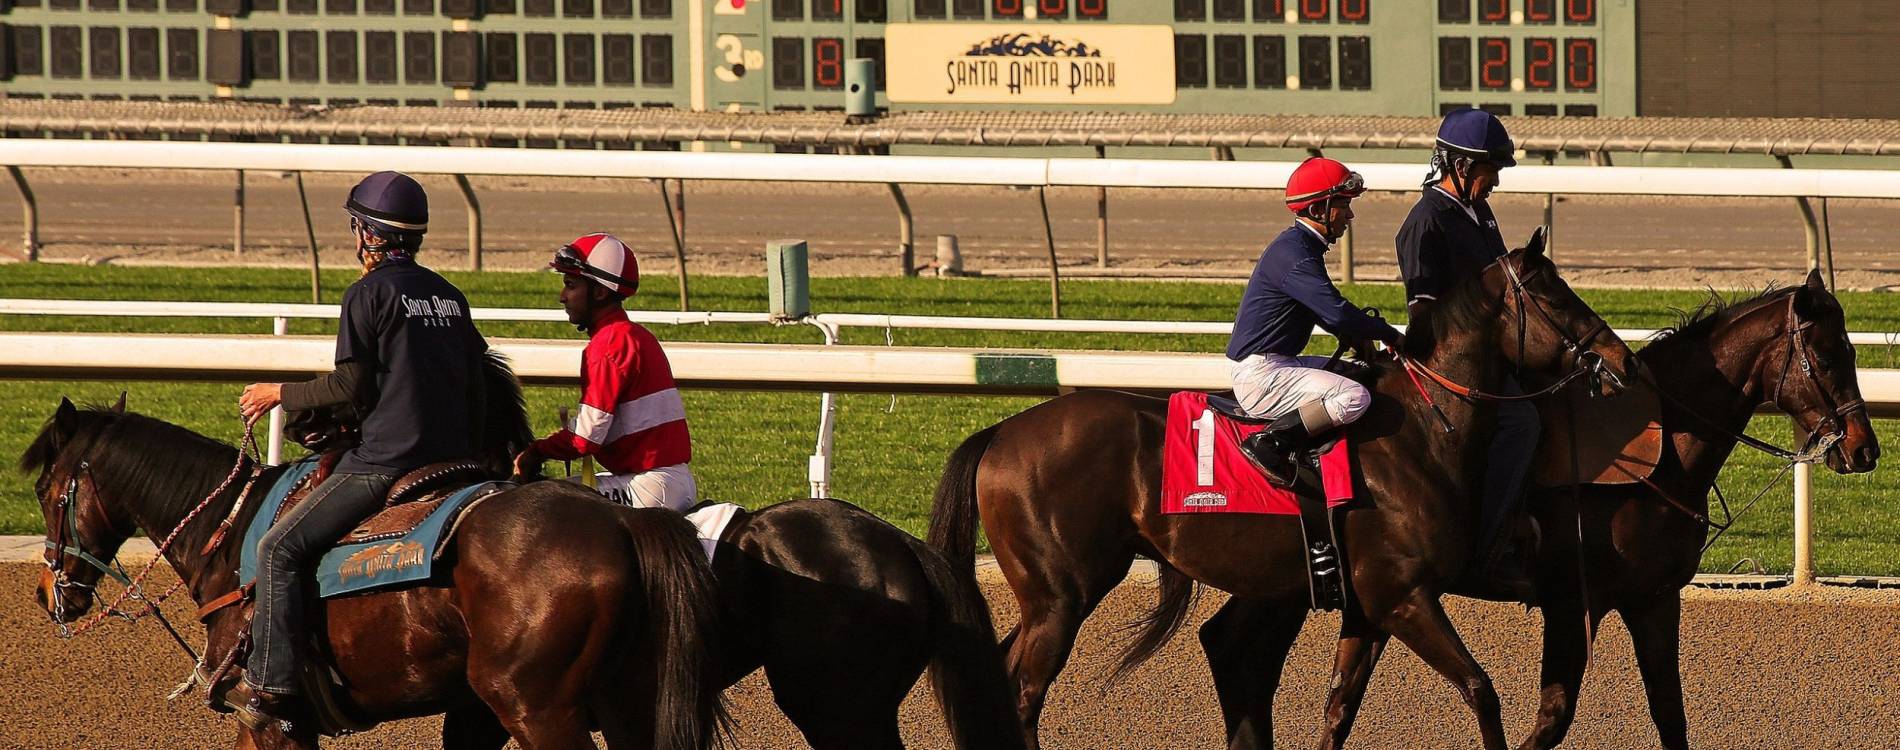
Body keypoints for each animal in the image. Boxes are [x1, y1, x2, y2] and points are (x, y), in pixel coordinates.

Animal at [23, 397, 725, 750]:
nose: (44, 591)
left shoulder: (270, 721)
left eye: (43, 490)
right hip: (621, 704)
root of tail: (626, 524)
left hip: (538, 710)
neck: (229, 531)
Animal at [928, 236, 1639, 750]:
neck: (1421, 429)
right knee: (1022, 693)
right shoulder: (1405, 596)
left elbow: (1340, 706)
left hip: (1051, 598)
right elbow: (1479, 690)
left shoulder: (1369, 606)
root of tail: (999, 433)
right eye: (1555, 297)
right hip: (1061, 596)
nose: (1622, 360)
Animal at [1197, 269, 1881, 750]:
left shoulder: (1654, 599)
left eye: (1853, 352)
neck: (1655, 453)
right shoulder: (1573, 600)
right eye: (1828, 356)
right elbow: (1553, 717)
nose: (1864, 448)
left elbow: (1670, 713)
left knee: (1238, 651)